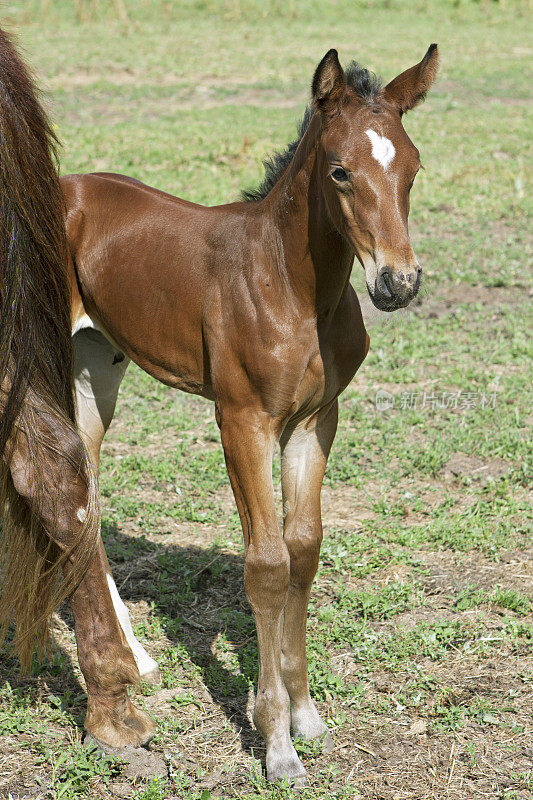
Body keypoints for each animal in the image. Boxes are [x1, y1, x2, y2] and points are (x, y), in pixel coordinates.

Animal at [2, 39, 438, 788]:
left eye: (411, 166)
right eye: (340, 172)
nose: (397, 282)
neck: (292, 283)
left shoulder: (314, 421)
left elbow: (302, 550)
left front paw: (305, 714)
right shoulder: (241, 421)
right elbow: (264, 565)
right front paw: (276, 743)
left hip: (95, 367)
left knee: (84, 481)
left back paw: (138, 657)